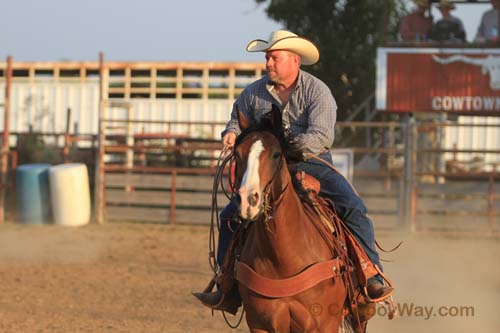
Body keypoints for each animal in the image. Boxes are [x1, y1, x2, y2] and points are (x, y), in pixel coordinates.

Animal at [230, 108, 352, 330]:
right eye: (237, 154)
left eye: (276, 154)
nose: (248, 200)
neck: (283, 259)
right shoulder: (259, 324)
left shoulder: (325, 325)